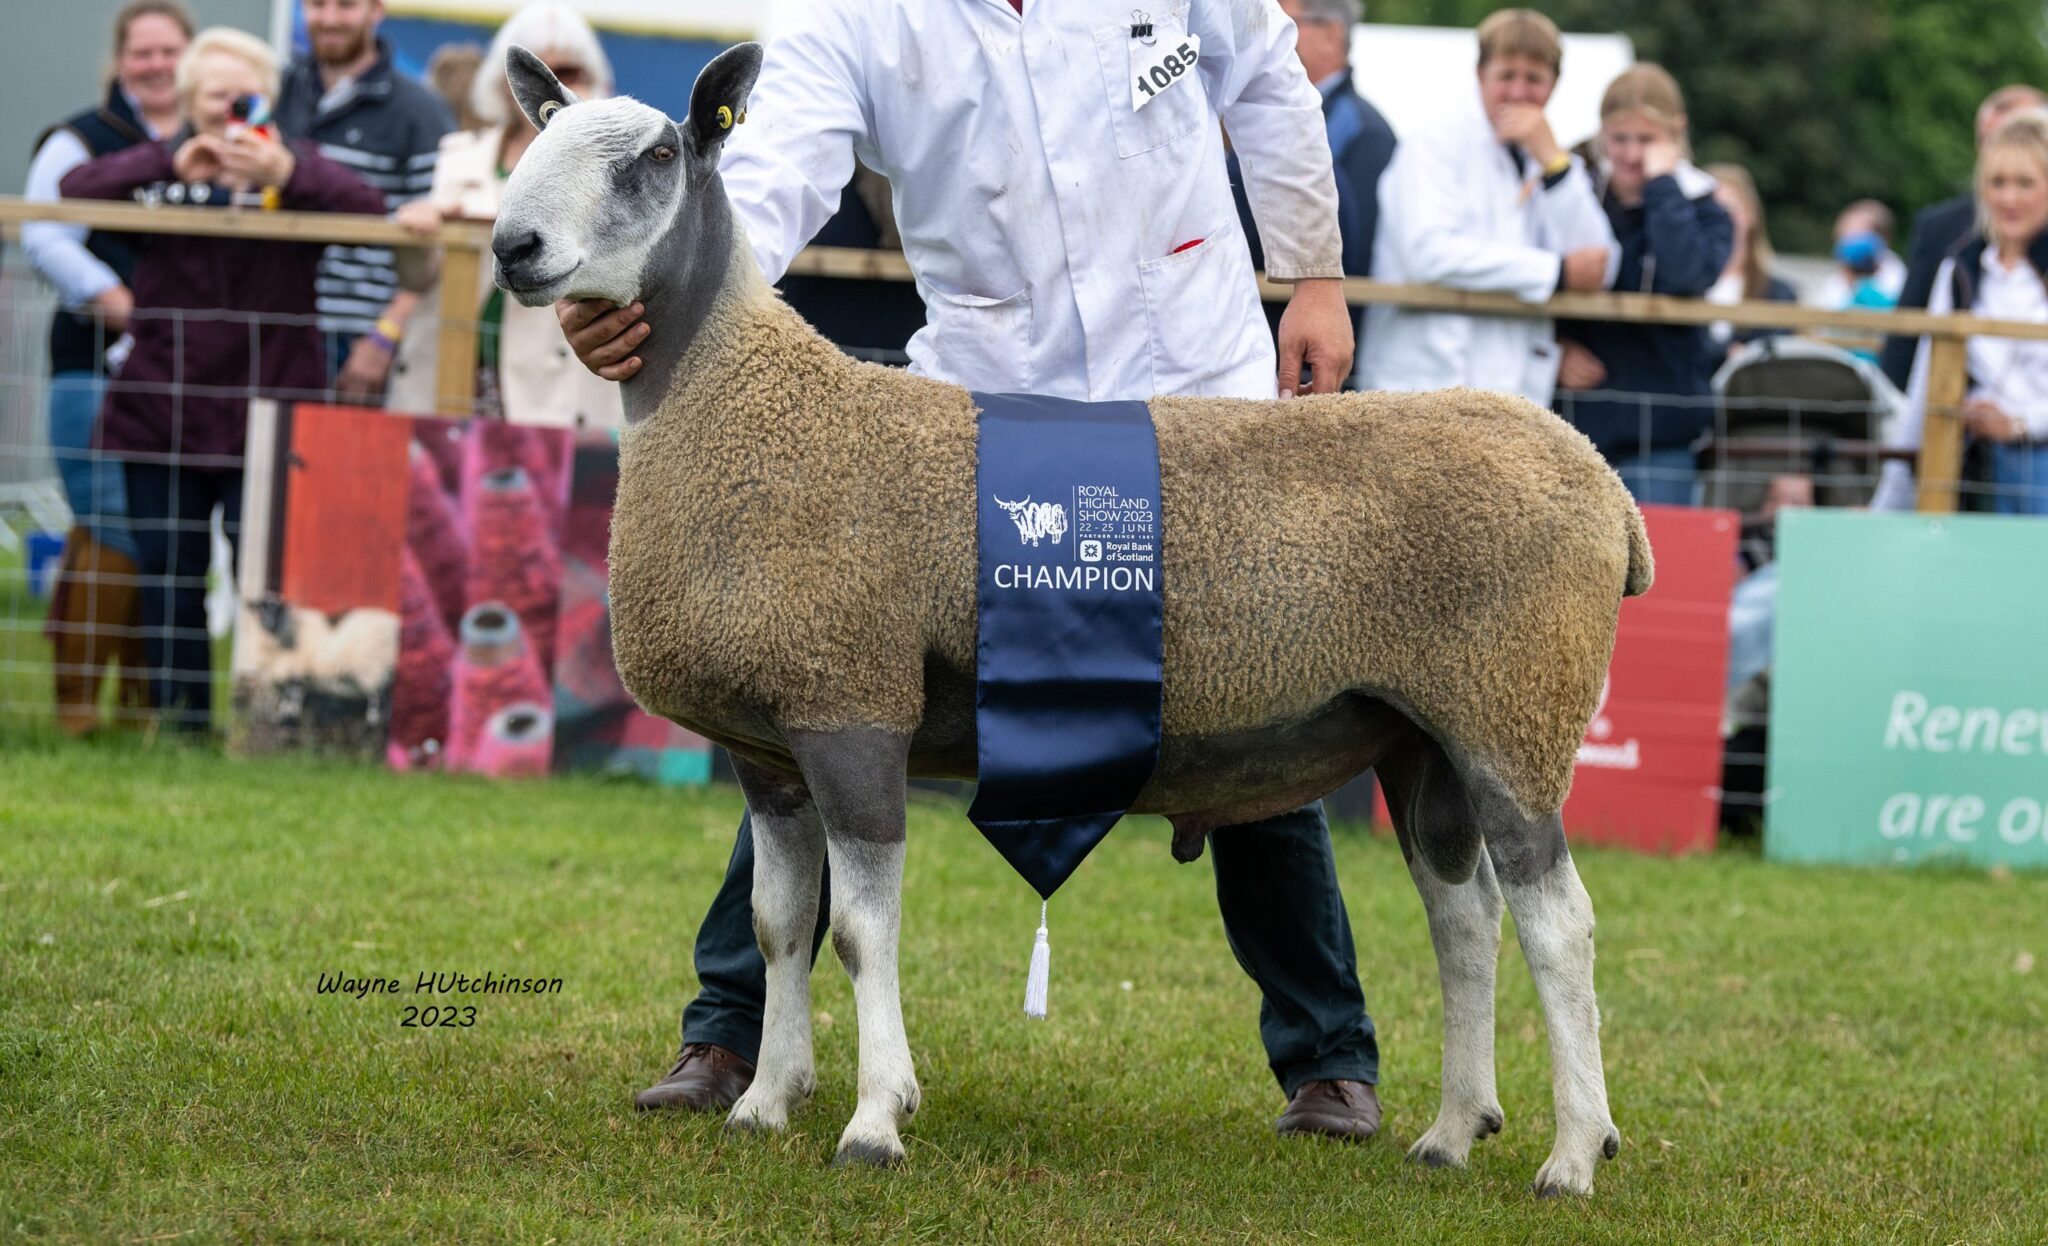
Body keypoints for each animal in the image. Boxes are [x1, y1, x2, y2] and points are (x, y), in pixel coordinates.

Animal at [491, 43, 1646, 1188]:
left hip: (1513, 709)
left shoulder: (854, 706)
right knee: (1466, 920)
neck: (741, 403)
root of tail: (1600, 479)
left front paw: (874, 1120)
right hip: (1420, 734)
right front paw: (764, 1103)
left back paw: (1573, 1152)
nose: (511, 246)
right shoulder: (769, 744)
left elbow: (860, 932)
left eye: (654, 156)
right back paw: (1450, 1132)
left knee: (1559, 926)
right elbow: (780, 928)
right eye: (539, 136)